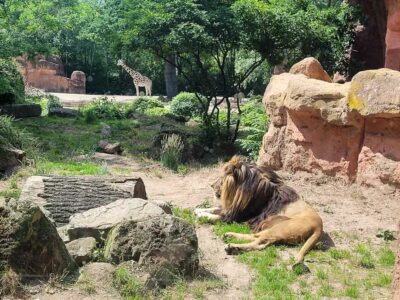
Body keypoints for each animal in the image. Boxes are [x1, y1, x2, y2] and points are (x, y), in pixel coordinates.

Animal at [195, 156, 324, 264]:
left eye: (221, 178)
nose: (211, 185)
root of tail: (319, 227)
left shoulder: (239, 215)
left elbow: (218, 216)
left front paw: (202, 216)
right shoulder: (234, 208)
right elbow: (216, 208)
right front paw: (199, 210)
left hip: (279, 228)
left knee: (258, 240)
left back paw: (232, 246)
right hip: (270, 227)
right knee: (259, 241)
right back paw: (230, 237)